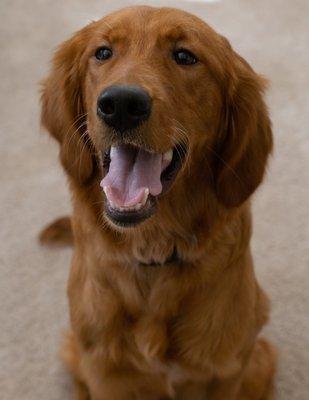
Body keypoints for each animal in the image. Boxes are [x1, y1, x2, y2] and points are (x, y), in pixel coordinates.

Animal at [40, 6, 274, 400]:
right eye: (103, 52)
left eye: (185, 56)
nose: (121, 105)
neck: (154, 254)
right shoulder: (107, 375)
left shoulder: (227, 369)